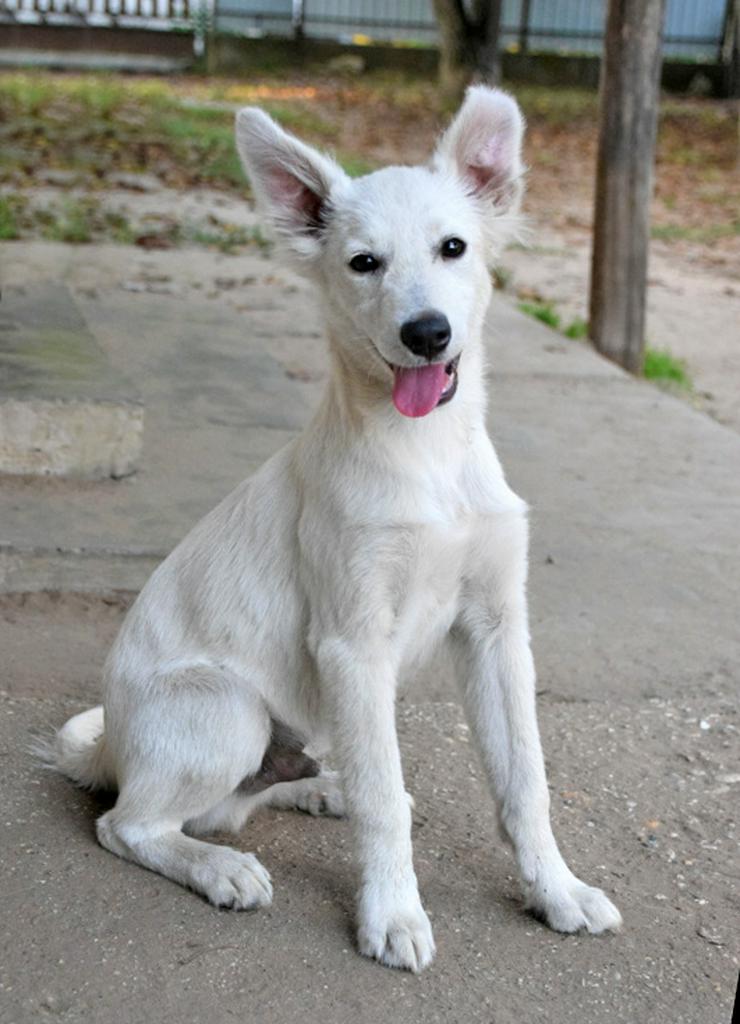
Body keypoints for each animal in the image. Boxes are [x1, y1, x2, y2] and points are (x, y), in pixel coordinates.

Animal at [49, 86, 622, 966]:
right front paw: (392, 914)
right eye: (363, 263)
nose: (427, 332)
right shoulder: (355, 642)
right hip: (228, 708)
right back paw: (220, 868)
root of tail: (110, 744)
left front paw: (556, 890)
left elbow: (524, 781)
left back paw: (319, 791)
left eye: (453, 247)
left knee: (236, 802)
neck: (427, 454)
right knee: (131, 824)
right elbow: (385, 797)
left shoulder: (496, 629)